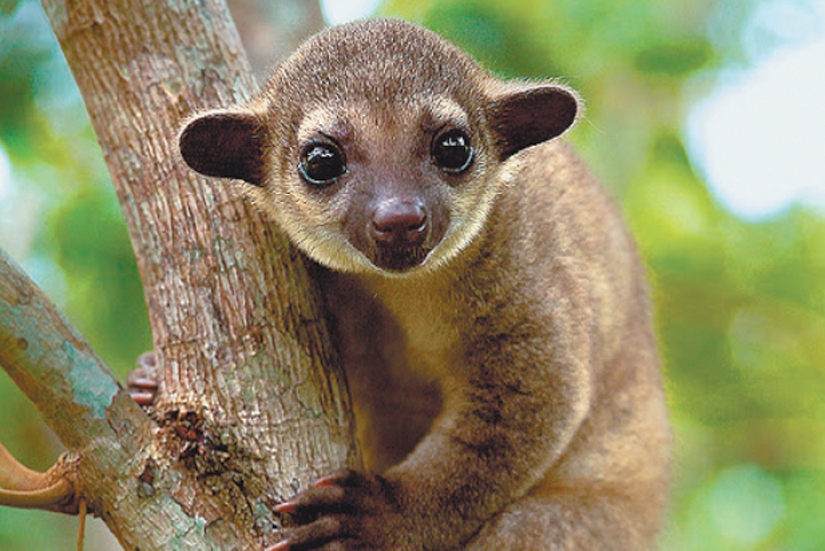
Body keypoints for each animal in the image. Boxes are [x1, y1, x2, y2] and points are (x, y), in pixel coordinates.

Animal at [162, 17, 671, 551]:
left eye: (453, 148)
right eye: (321, 160)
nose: (400, 216)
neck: (401, 289)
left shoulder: (526, 262)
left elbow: (534, 399)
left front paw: (381, 516)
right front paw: (147, 378)